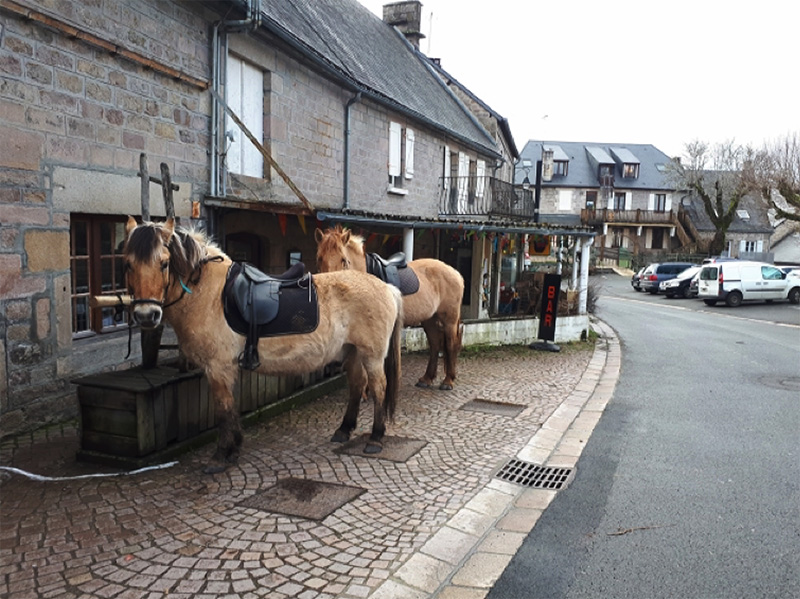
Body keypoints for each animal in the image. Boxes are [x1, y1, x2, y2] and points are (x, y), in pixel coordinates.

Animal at [123, 216, 406, 474]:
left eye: (164, 263)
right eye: (127, 264)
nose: (147, 315)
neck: (209, 294)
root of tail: (387, 288)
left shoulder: (218, 368)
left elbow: (223, 409)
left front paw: (222, 455)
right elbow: (230, 408)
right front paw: (234, 448)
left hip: (372, 355)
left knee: (379, 388)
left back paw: (375, 438)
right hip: (353, 352)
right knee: (357, 385)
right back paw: (344, 430)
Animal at [312, 225, 462, 390]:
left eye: (344, 260)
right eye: (319, 258)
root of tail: (455, 272)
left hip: (449, 319)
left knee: (450, 345)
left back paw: (448, 381)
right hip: (429, 319)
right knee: (435, 344)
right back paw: (426, 379)